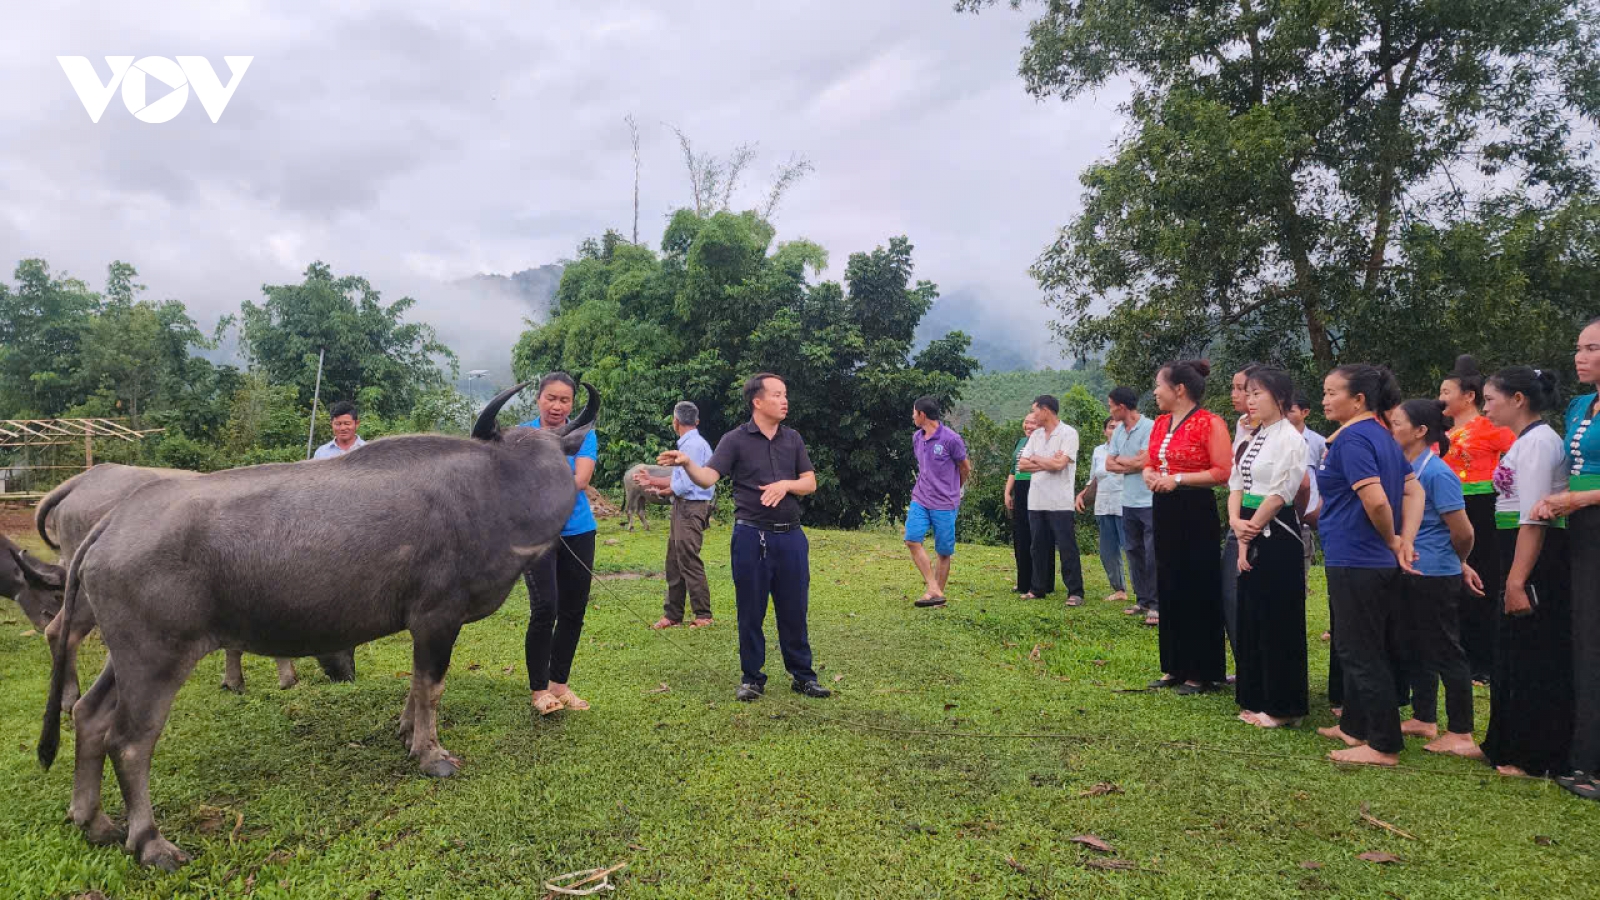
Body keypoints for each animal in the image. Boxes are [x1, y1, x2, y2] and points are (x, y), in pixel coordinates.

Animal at [34, 458, 355, 698]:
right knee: (63, 632)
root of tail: (85, 479)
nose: (349, 675)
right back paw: (70, 696)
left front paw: (233, 681)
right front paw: (287, 678)